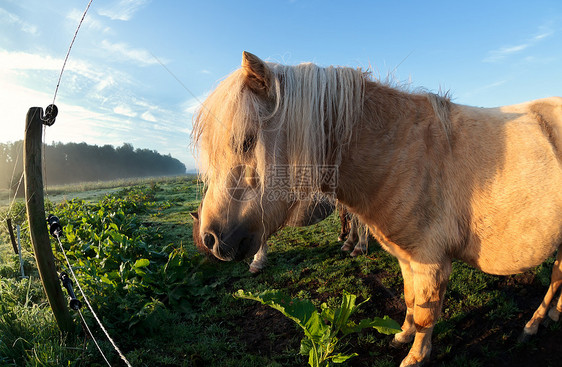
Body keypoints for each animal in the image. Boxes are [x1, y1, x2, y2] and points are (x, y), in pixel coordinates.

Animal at [192, 52, 560, 367]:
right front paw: (403, 335)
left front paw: (415, 357)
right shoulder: (407, 257)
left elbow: (426, 313)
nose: (209, 238)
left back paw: (533, 324)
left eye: (245, 141)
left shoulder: (432, 262)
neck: (401, 155)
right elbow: (411, 300)